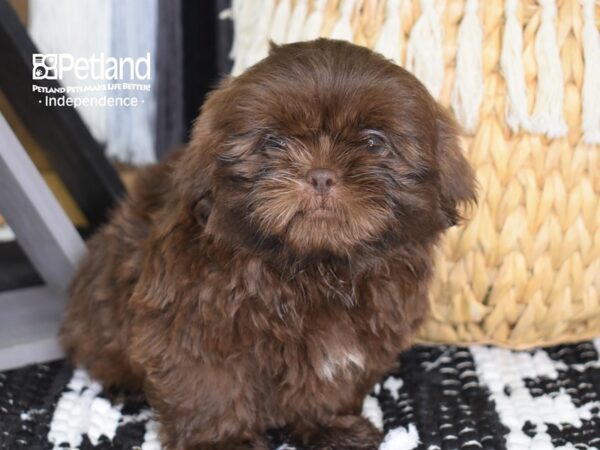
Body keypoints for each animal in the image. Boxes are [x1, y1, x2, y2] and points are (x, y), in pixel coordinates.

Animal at [59, 39, 474, 450]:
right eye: (275, 142)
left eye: (373, 142)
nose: (321, 175)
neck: (314, 266)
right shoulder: (195, 321)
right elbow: (209, 384)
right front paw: (221, 442)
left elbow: (327, 385)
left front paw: (327, 426)